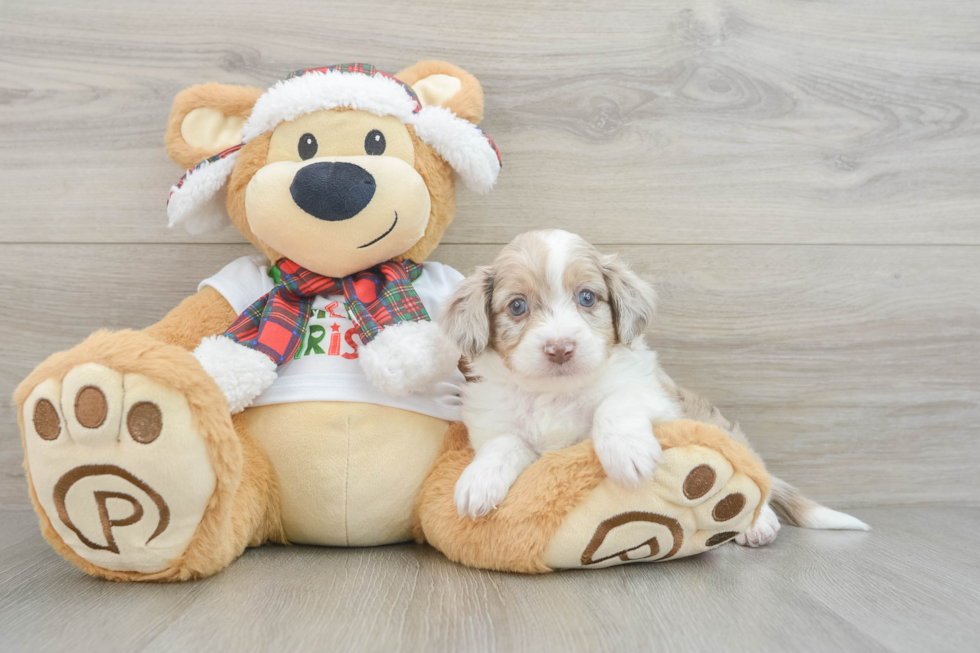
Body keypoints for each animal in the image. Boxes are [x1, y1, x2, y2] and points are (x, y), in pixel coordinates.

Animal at [442, 229, 680, 520]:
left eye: (587, 298)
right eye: (517, 306)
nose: (559, 349)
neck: (555, 393)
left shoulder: (662, 400)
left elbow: (618, 402)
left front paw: (627, 450)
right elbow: (505, 442)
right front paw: (480, 479)